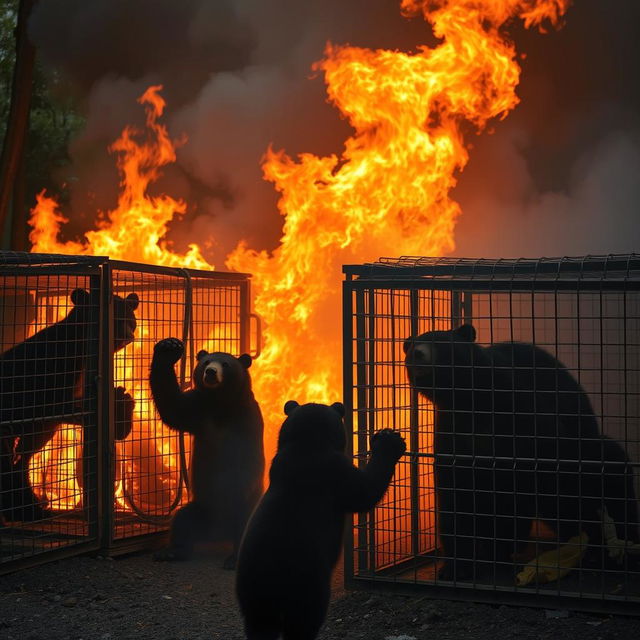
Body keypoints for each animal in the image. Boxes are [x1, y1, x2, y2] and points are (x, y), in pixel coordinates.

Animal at [0, 287, 139, 522]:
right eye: (114, 318)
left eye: (130, 319)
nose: (127, 336)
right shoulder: (55, 372)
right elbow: (66, 407)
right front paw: (119, 410)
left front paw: (121, 411)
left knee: (25, 454)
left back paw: (29, 508)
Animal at [149, 337, 264, 569]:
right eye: (206, 361)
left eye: (226, 364)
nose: (211, 372)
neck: (219, 405)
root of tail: (219, 535)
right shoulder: (198, 409)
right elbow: (172, 406)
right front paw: (168, 348)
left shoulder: (247, 420)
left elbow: (247, 461)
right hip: (201, 509)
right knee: (183, 521)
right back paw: (170, 552)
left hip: (247, 510)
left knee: (243, 528)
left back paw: (234, 558)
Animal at [235, 400, 406, 640]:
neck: (308, 445)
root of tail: (272, 573)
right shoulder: (335, 473)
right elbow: (364, 491)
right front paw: (388, 440)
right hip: (309, 581)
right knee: (304, 621)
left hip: (252, 592)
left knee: (260, 625)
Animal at [403, 323, 639, 580]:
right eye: (411, 348)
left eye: (441, 342)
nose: (417, 354)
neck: (470, 403)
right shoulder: (453, 433)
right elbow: (455, 495)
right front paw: (457, 566)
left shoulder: (520, 412)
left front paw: (499, 546)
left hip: (587, 449)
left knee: (610, 476)